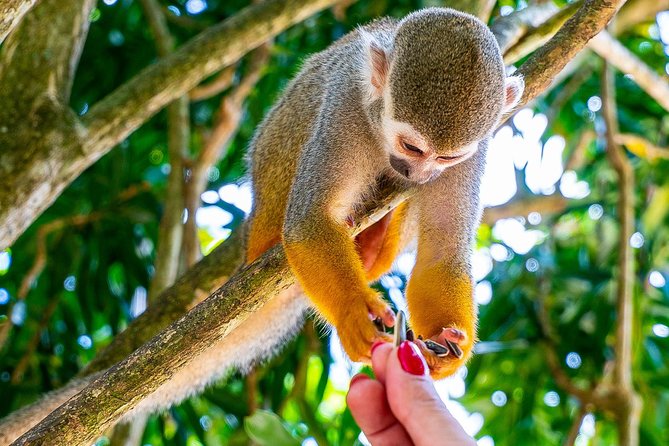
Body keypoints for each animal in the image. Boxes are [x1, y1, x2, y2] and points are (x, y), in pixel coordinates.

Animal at [0, 8, 522, 443]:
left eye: (447, 157)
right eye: (412, 146)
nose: (418, 172)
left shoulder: (476, 151)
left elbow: (443, 252)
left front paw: (447, 345)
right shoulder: (346, 107)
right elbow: (309, 221)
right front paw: (355, 311)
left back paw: (377, 242)